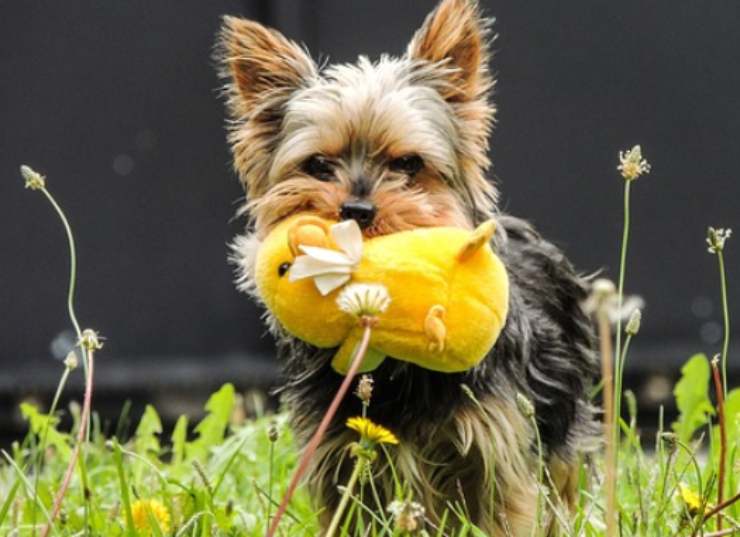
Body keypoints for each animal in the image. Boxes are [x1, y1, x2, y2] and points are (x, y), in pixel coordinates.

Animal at [217, 1, 600, 532]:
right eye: (318, 166)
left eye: (408, 164)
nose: (357, 209)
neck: (393, 361)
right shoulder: (341, 451)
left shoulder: (497, 448)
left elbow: (504, 510)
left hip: (561, 424)